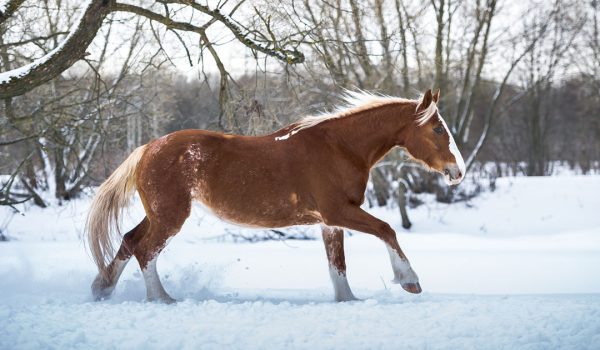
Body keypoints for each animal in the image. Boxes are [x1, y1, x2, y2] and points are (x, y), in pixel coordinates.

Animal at [86, 89, 466, 302]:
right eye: (437, 128)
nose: (457, 171)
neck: (340, 148)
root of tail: (147, 149)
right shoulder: (338, 212)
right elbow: (387, 230)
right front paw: (409, 280)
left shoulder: (329, 222)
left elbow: (338, 265)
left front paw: (348, 300)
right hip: (170, 216)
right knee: (145, 250)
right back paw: (161, 299)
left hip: (158, 214)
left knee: (129, 240)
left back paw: (102, 289)